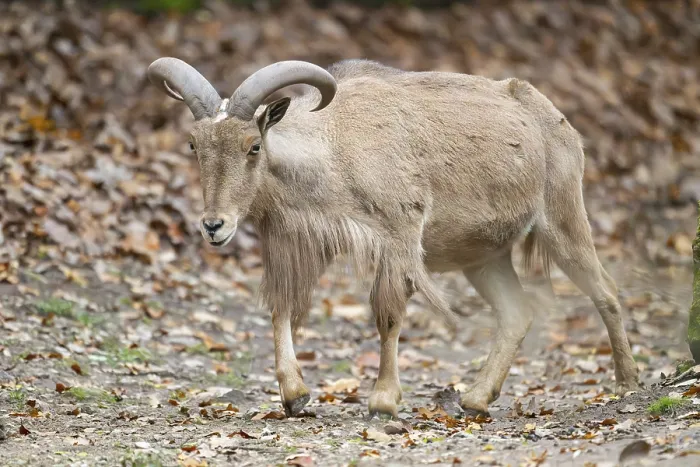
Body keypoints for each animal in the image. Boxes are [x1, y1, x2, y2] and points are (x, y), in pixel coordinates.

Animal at [147, 57, 640, 419]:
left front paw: (383, 400)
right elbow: (282, 307)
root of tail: (558, 121)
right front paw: (294, 395)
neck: (335, 145)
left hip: (562, 220)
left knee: (606, 291)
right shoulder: (299, 242)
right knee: (517, 313)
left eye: (253, 146)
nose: (214, 226)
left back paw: (626, 384)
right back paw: (476, 398)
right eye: (194, 146)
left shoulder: (399, 235)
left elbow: (387, 313)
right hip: (483, 257)